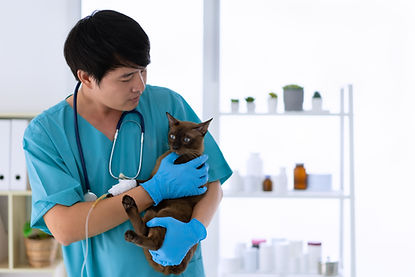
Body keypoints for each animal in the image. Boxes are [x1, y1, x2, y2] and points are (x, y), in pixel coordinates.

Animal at [120, 111, 211, 274]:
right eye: (173, 136)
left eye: (186, 139)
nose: (174, 146)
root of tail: (172, 268)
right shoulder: (152, 179)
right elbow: (141, 182)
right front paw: (120, 185)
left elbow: (144, 184)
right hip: (151, 212)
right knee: (144, 230)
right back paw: (128, 204)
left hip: (165, 213)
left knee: (156, 244)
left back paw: (131, 231)